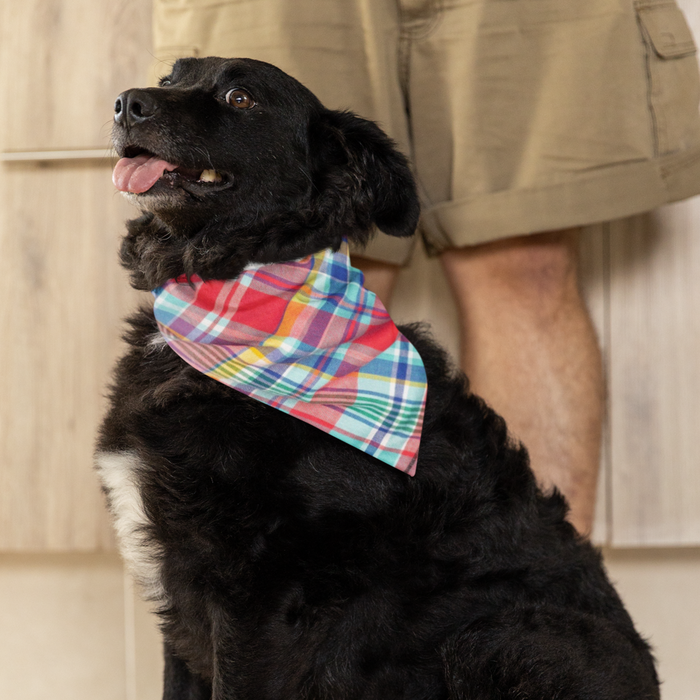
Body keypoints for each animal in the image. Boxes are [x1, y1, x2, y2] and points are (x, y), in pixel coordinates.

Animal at [97, 57, 656, 696]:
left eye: (241, 97)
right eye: (170, 78)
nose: (126, 103)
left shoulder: (257, 598)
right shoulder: (183, 595)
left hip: (498, 637)